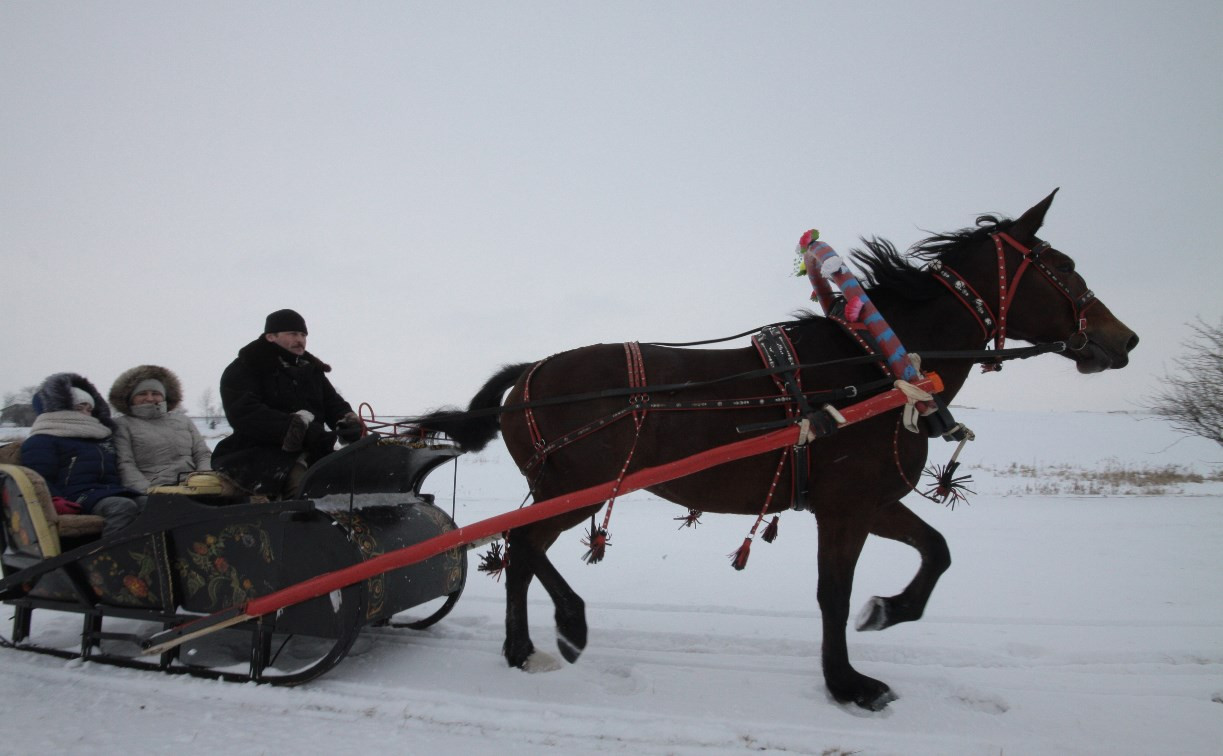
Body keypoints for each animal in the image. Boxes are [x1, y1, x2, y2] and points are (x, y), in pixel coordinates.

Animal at [418, 190, 1134, 709]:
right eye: (1062, 267)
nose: (1123, 338)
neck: (874, 365)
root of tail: (528, 374)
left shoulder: (871, 501)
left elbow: (937, 552)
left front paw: (890, 610)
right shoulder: (845, 508)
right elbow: (833, 594)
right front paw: (847, 683)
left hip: (561, 490)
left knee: (520, 553)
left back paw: (523, 647)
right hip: (572, 490)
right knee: (524, 546)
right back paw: (565, 626)